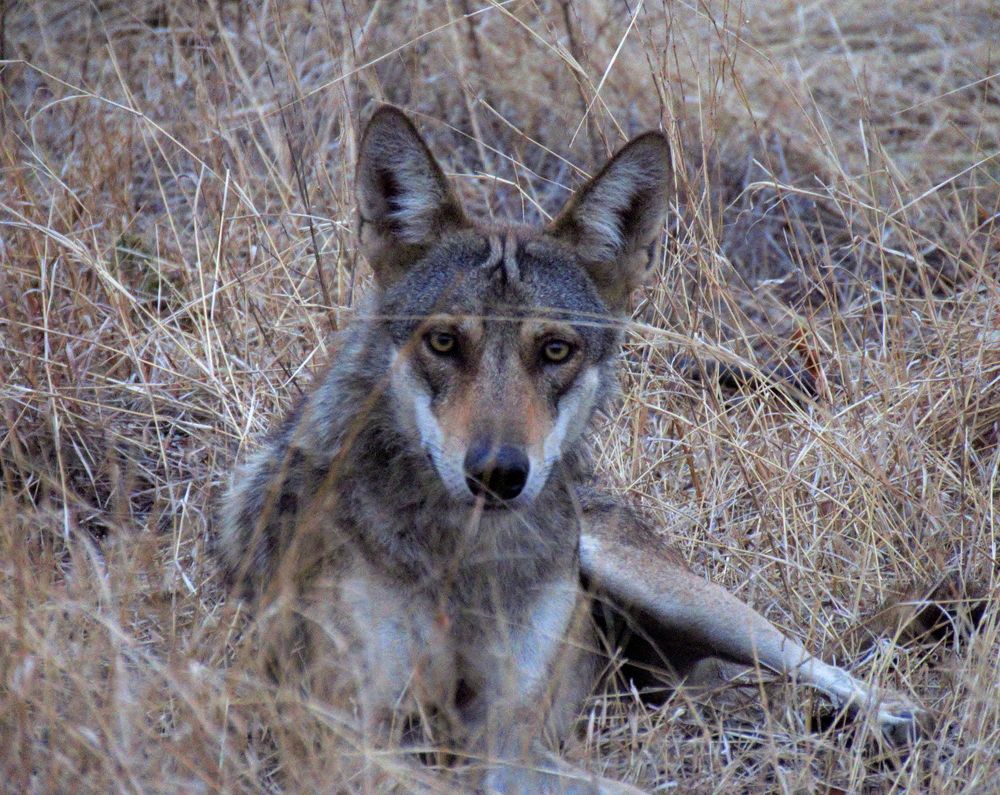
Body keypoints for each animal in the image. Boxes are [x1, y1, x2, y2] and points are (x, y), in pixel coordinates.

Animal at [217, 106, 924, 793]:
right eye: (443, 342)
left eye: (556, 350)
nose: (497, 473)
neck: (466, 561)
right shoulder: (341, 739)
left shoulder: (509, 738)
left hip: (661, 588)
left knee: (819, 665)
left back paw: (893, 719)